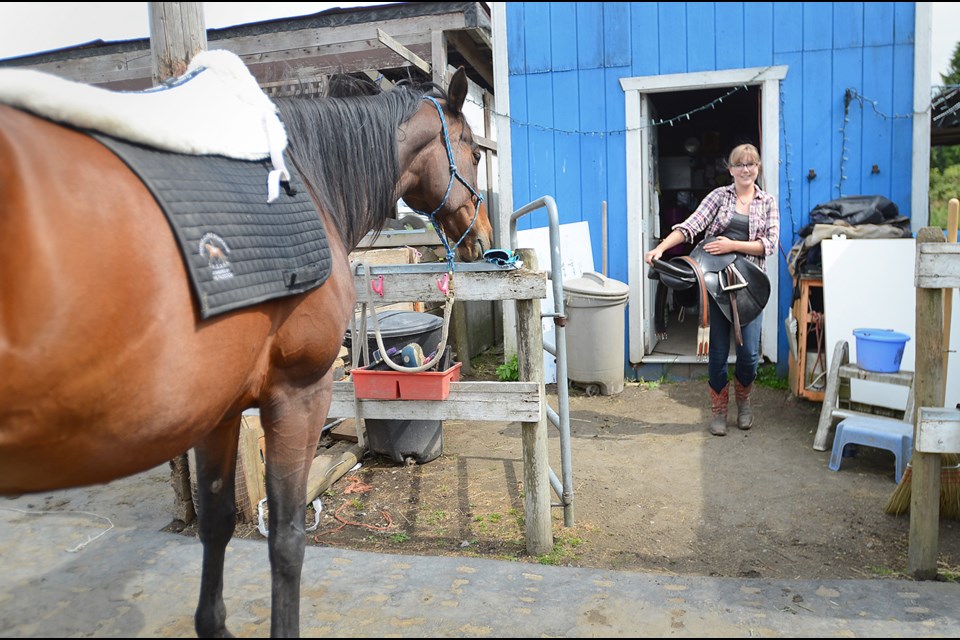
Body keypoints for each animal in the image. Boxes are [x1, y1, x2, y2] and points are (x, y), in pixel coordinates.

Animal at [0, 65, 496, 636]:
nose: (483, 239)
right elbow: (286, 538)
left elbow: (215, 524)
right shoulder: (298, 394)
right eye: (474, 153)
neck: (311, 181)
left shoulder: (217, 411)